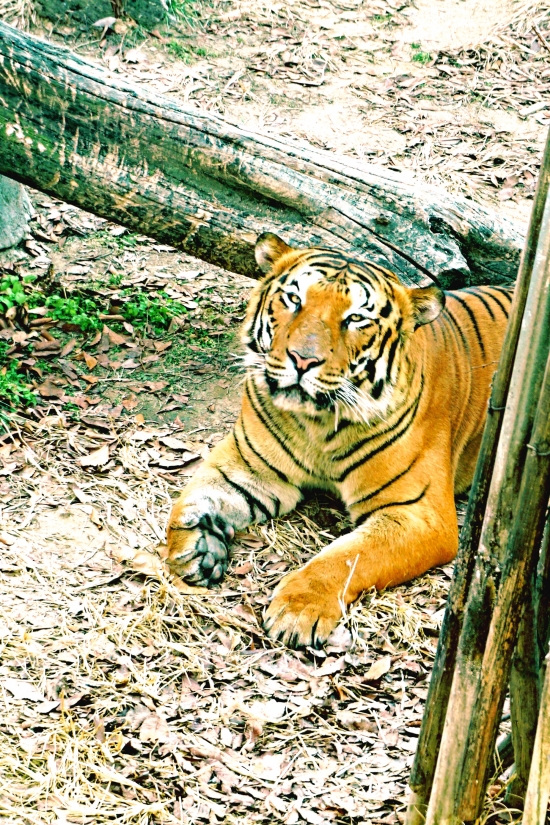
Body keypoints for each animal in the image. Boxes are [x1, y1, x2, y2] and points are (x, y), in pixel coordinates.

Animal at [167, 232, 513, 648]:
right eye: (293, 299)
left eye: (356, 319)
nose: (302, 360)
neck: (316, 423)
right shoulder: (247, 468)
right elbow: (190, 497)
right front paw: (193, 548)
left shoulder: (417, 512)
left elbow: (348, 556)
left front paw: (297, 609)